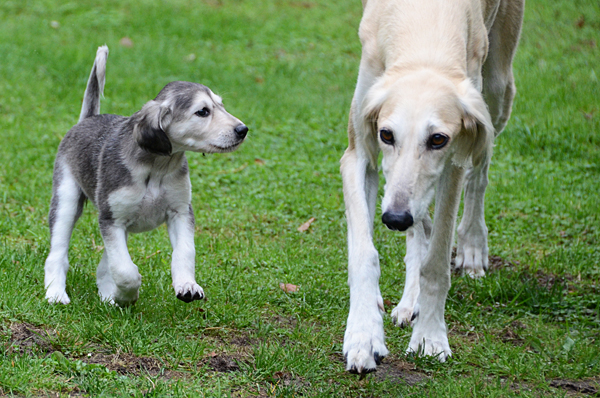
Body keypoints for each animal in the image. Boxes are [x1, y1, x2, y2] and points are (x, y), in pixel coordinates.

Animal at [43, 45, 247, 304]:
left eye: (221, 105)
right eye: (202, 111)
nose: (243, 129)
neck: (157, 169)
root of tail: (87, 119)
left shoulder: (180, 212)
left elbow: (184, 252)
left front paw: (187, 284)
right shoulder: (111, 220)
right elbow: (125, 270)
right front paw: (127, 294)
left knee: (105, 264)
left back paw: (108, 294)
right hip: (66, 201)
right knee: (58, 253)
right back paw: (56, 292)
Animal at [340, 0, 524, 374]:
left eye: (438, 139)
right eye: (386, 134)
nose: (395, 220)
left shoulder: (454, 158)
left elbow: (436, 262)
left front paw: (429, 338)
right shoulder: (359, 152)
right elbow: (365, 253)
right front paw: (364, 336)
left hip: (497, 91)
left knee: (479, 176)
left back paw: (472, 247)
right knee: (420, 222)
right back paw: (409, 300)